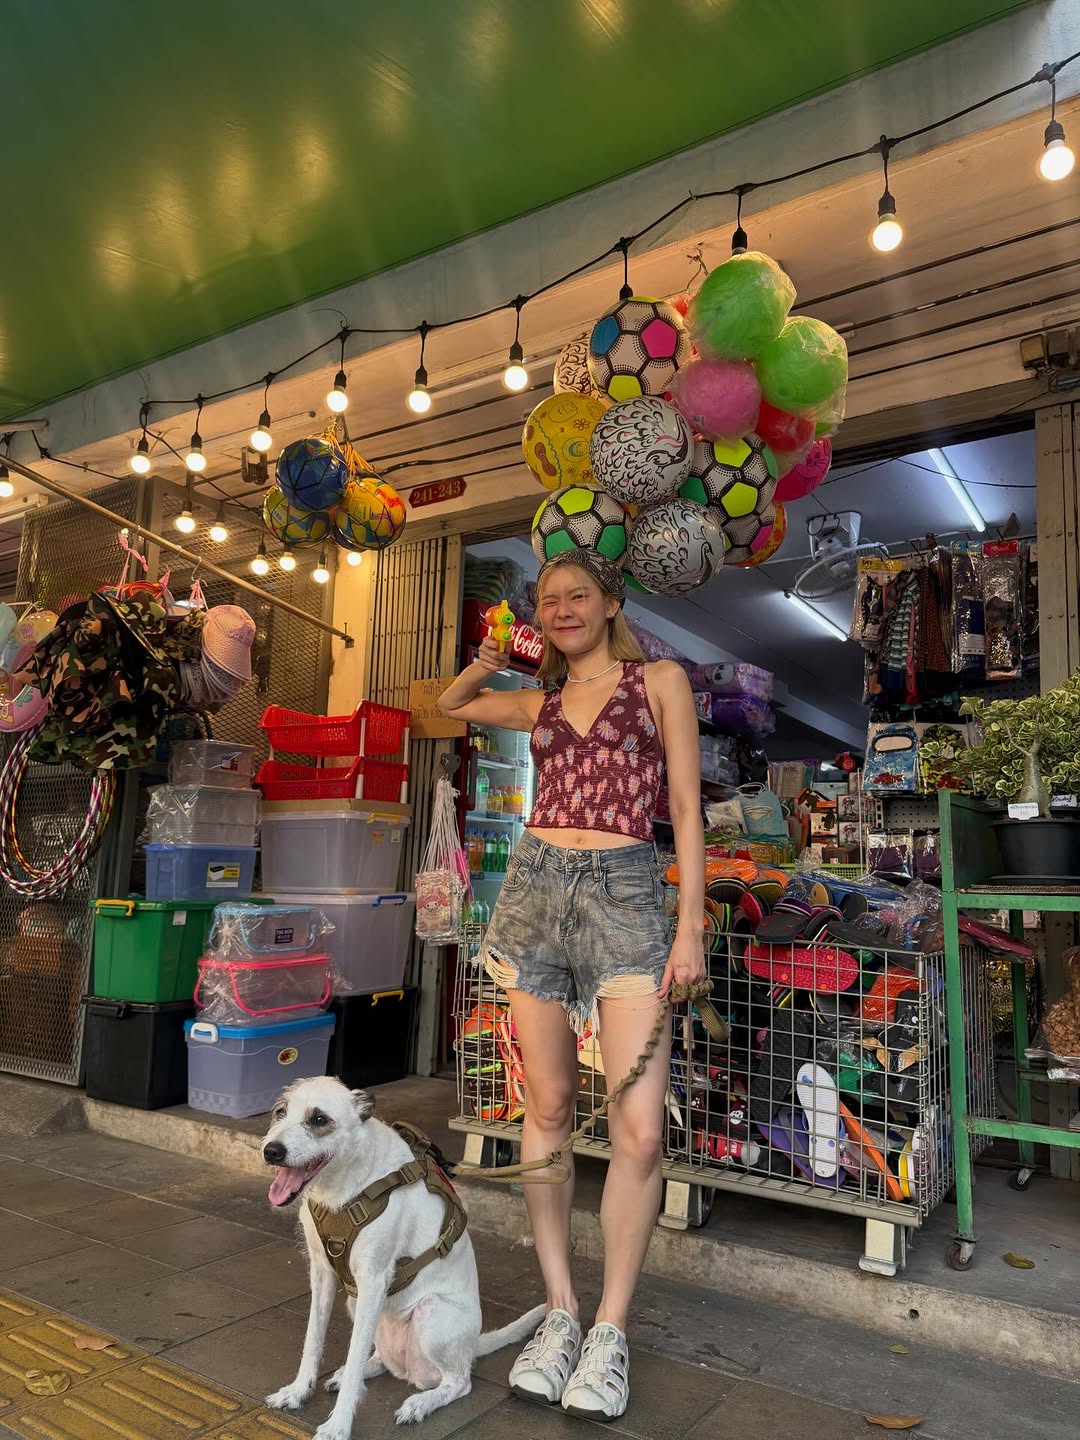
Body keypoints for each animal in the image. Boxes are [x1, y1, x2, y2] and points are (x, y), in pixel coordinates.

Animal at [261, 1076, 544, 1436]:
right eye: (280, 1112)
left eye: (319, 1119)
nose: (271, 1151)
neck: (344, 1187)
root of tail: (472, 1345)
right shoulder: (322, 1272)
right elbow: (313, 1338)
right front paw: (298, 1391)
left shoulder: (372, 1280)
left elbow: (352, 1356)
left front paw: (339, 1425)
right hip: (359, 1305)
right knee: (377, 1357)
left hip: (431, 1314)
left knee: (458, 1382)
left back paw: (420, 1403)